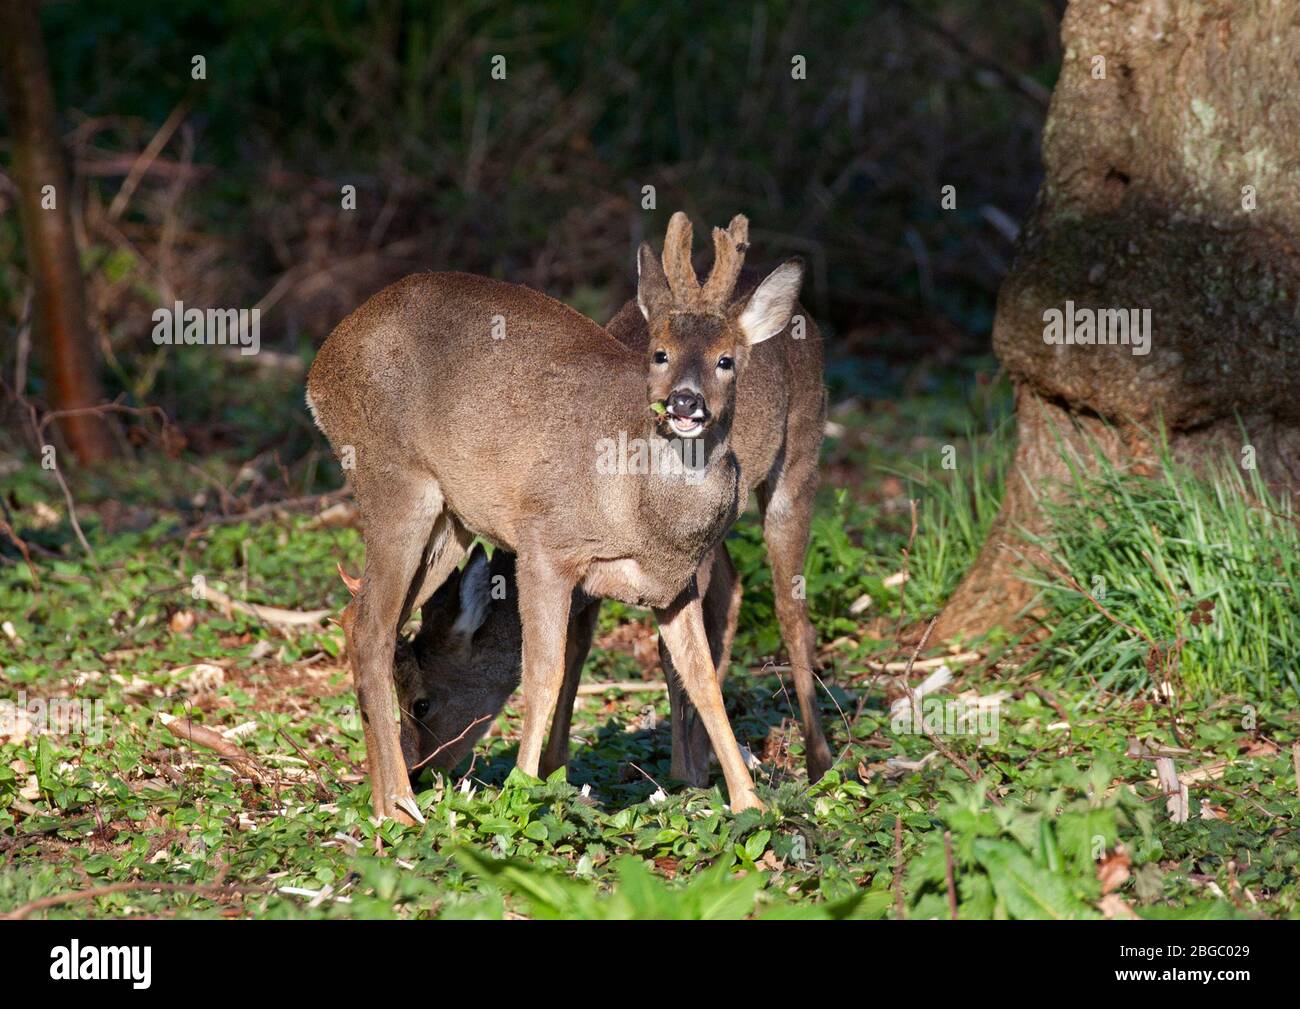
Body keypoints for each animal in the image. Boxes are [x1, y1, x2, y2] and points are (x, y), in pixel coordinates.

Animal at [306, 210, 800, 821]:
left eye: (726, 359)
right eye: (659, 353)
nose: (685, 404)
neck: (643, 508)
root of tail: (320, 369)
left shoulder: (674, 585)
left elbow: (701, 677)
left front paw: (748, 801)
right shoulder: (545, 545)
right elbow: (545, 670)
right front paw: (522, 787)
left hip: (451, 522)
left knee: (366, 617)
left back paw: (387, 794)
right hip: (394, 482)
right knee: (370, 626)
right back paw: (397, 803)